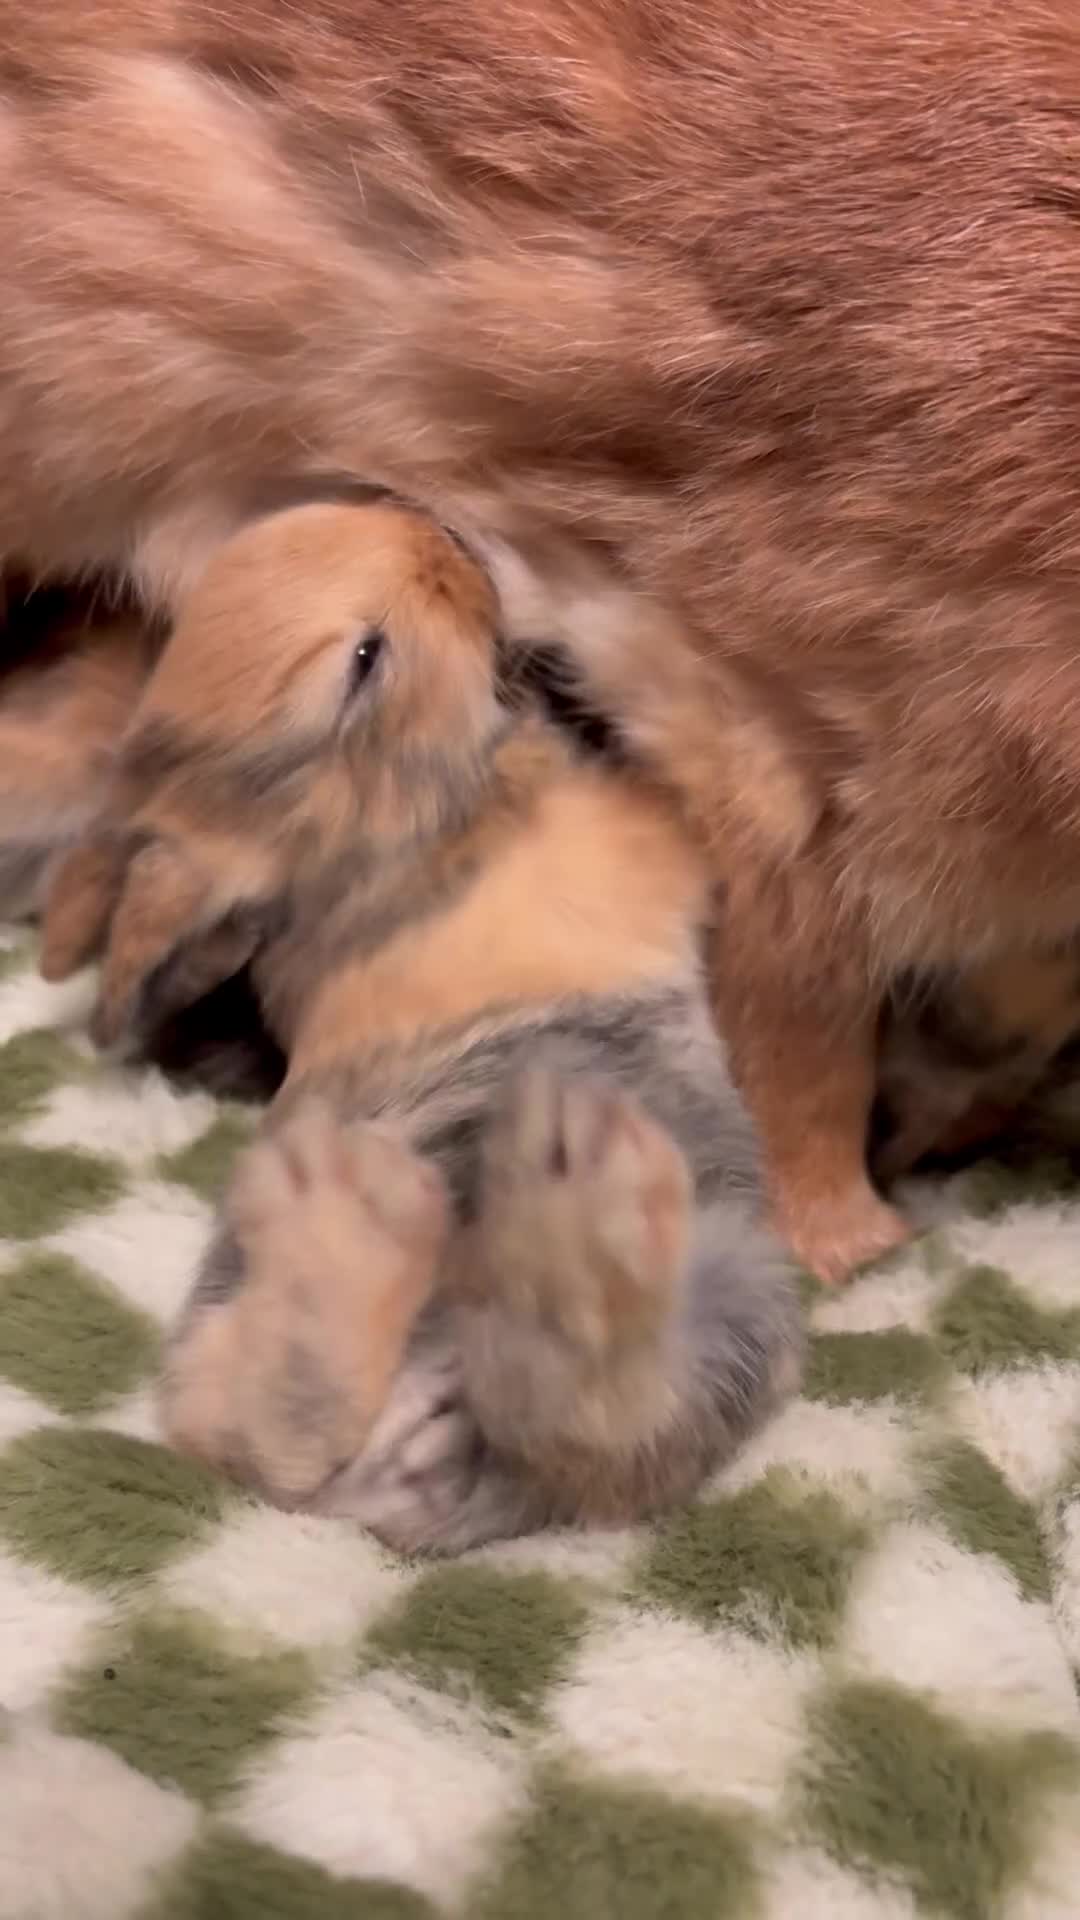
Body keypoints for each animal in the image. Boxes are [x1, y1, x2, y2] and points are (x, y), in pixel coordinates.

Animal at [39, 495, 801, 1554]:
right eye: (366, 657)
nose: (435, 531)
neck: (418, 819)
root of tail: (378, 1489)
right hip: (737, 1305)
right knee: (579, 1416)